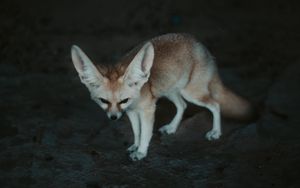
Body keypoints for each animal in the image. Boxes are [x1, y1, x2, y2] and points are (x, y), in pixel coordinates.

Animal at [71, 33, 253, 160]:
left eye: (123, 100)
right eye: (103, 101)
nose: (113, 118)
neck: (136, 97)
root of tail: (201, 46)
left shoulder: (147, 110)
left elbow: (145, 133)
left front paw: (141, 152)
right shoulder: (131, 112)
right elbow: (137, 132)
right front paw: (135, 145)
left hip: (191, 93)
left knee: (215, 105)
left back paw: (215, 132)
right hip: (171, 91)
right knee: (182, 105)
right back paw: (172, 127)